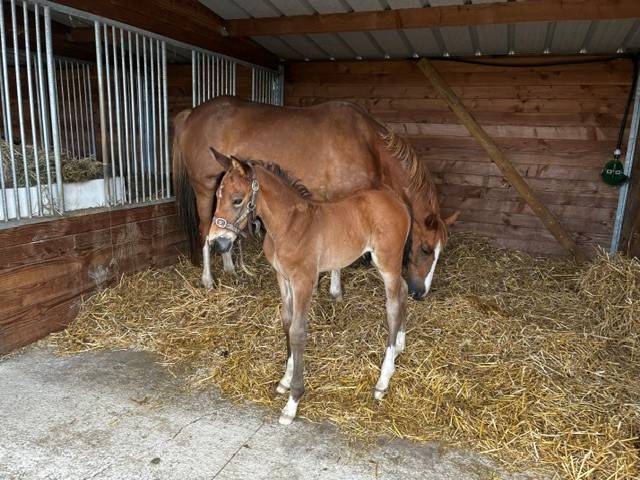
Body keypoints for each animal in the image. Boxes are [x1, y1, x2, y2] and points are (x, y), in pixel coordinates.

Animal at [172, 96, 459, 299]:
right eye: (425, 248)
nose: (420, 293)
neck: (367, 143)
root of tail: (192, 114)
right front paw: (335, 291)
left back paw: (230, 266)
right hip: (205, 187)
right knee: (205, 229)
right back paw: (208, 279)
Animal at [208, 148, 411, 425]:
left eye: (237, 200)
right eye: (217, 196)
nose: (216, 243)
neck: (289, 225)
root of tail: (396, 200)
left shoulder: (304, 279)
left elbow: (297, 331)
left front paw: (292, 401)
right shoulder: (282, 277)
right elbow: (286, 321)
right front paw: (285, 380)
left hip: (388, 261)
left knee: (392, 305)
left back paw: (383, 380)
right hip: (389, 265)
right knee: (403, 290)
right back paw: (399, 346)